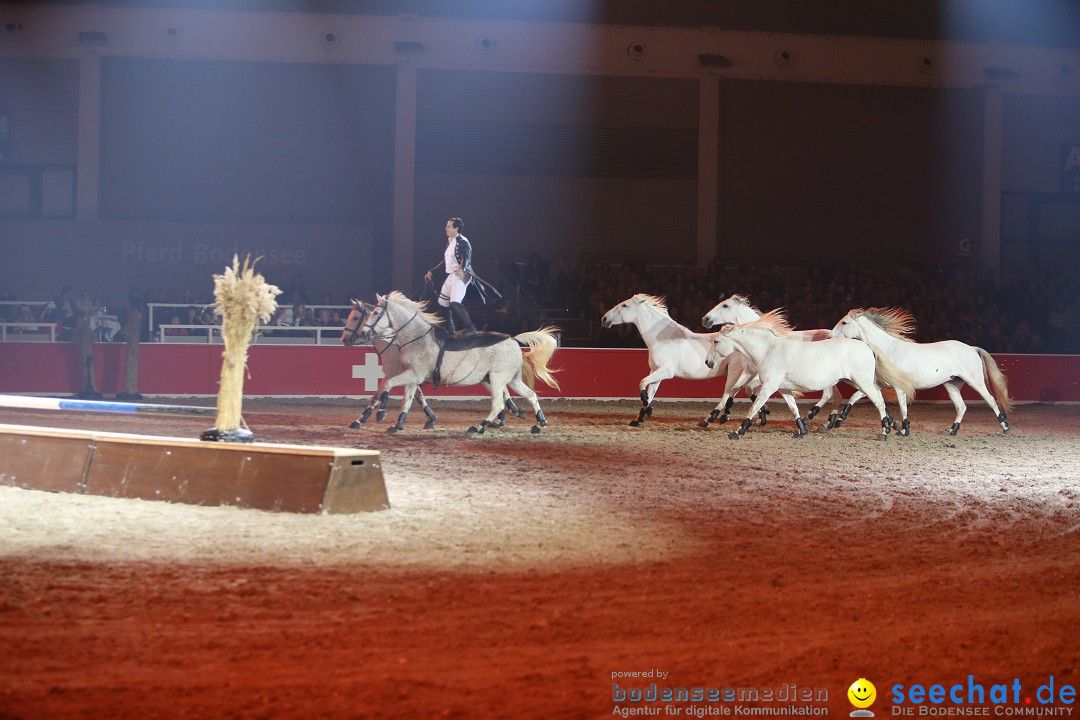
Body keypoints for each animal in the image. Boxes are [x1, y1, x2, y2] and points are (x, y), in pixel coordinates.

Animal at [354, 291, 561, 433]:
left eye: (375, 313)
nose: (363, 332)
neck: (416, 337)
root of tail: (513, 340)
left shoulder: (412, 374)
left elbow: (388, 384)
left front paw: (381, 413)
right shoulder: (413, 377)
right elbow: (407, 400)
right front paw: (397, 425)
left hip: (497, 379)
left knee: (498, 404)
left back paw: (481, 426)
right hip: (510, 380)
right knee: (531, 395)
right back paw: (539, 424)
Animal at [600, 293, 751, 427]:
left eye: (624, 305)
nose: (604, 319)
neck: (663, 340)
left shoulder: (666, 371)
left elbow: (642, 383)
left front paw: (647, 411)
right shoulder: (655, 371)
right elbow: (650, 392)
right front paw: (638, 419)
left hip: (734, 370)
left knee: (728, 392)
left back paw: (709, 419)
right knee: (735, 391)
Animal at [699, 293, 842, 427]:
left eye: (725, 305)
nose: (705, 319)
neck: (761, 343)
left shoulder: (762, 376)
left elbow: (745, 389)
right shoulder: (749, 372)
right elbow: (736, 389)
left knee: (829, 394)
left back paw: (815, 418)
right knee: (836, 397)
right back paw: (828, 422)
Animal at [704, 310, 915, 442]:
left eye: (716, 341)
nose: (708, 363)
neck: (769, 350)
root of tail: (866, 345)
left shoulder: (769, 387)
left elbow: (754, 407)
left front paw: (737, 431)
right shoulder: (783, 388)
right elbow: (793, 408)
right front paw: (801, 430)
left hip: (862, 382)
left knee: (878, 401)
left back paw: (884, 432)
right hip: (856, 382)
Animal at [829, 306, 1015, 436]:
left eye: (844, 322)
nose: (829, 337)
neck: (888, 349)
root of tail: (972, 348)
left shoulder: (898, 387)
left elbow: (903, 407)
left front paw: (903, 430)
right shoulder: (878, 384)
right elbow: (856, 396)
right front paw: (839, 420)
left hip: (975, 381)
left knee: (991, 400)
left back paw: (1005, 428)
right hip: (952, 384)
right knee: (961, 407)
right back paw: (952, 430)